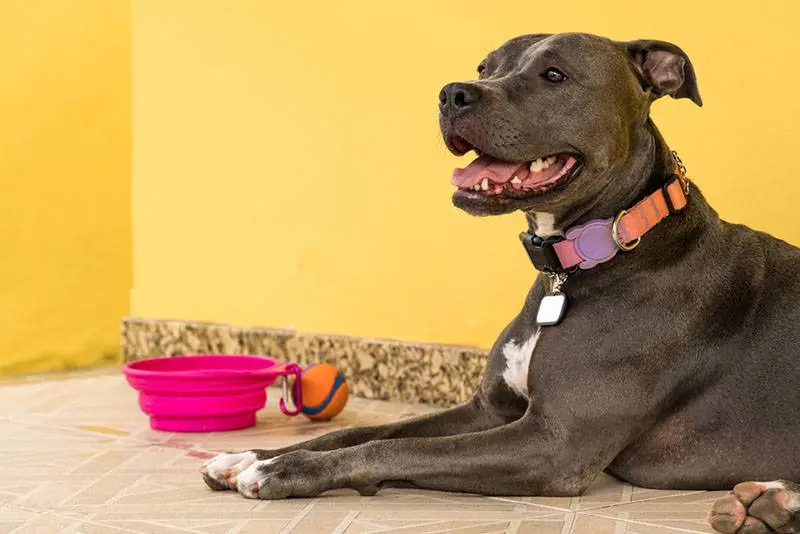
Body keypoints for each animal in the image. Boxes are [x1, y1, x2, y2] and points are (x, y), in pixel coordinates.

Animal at [202, 33, 800, 534]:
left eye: (555, 74)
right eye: (485, 67)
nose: (451, 94)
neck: (578, 264)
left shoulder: (553, 444)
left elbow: (396, 449)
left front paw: (283, 471)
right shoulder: (488, 410)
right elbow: (366, 431)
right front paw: (250, 456)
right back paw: (768, 503)